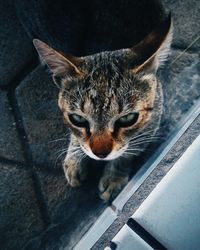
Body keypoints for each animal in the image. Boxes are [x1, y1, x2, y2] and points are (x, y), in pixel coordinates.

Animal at [16, 0, 172, 201]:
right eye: (78, 119)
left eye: (127, 119)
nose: (100, 153)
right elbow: (77, 136)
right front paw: (75, 158)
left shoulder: (152, 122)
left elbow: (128, 152)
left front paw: (114, 176)